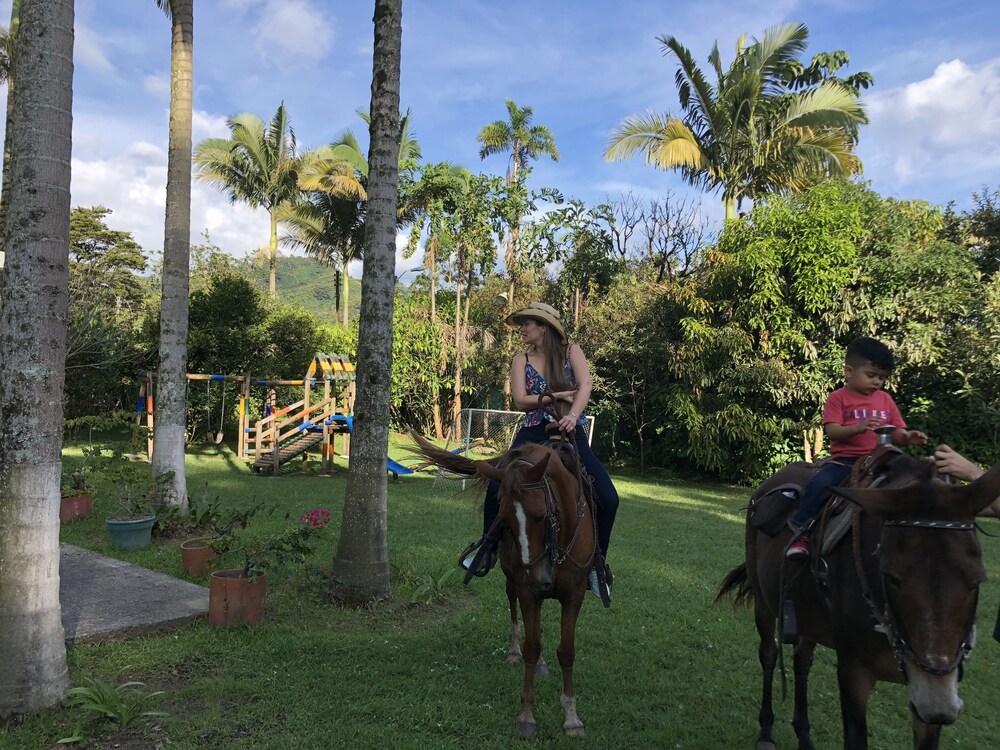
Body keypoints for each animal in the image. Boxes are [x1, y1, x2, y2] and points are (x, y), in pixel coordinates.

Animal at [410, 432, 596, 737]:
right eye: (506, 522)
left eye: (542, 515)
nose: (538, 577)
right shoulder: (526, 590)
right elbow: (531, 647)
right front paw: (527, 714)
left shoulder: (575, 593)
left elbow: (567, 651)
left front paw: (571, 717)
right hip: (514, 581)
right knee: (514, 606)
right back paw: (513, 652)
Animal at [717, 451, 1000, 750]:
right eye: (891, 576)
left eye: (977, 580)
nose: (938, 706)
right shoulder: (854, 669)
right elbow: (855, 738)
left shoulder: (932, 686)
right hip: (764, 602)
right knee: (769, 655)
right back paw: (766, 731)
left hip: (808, 617)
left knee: (802, 661)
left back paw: (804, 734)